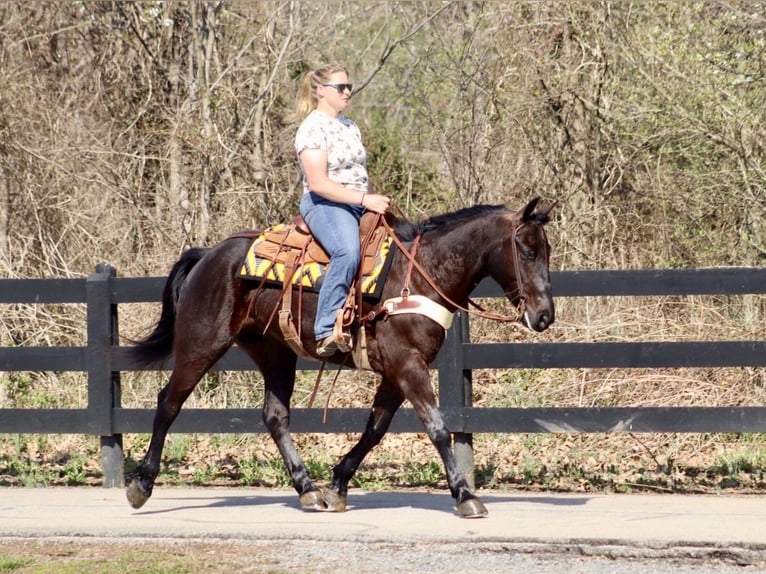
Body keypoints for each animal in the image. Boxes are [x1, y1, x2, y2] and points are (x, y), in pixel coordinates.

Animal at [123, 197, 555, 518]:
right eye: (526, 250)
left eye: (546, 251)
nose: (544, 316)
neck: (418, 275)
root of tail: (208, 255)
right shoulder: (408, 365)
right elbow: (437, 428)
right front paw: (465, 494)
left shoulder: (396, 372)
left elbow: (375, 430)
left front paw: (337, 484)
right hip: (202, 344)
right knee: (169, 403)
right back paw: (141, 484)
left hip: (275, 353)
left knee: (275, 416)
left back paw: (307, 488)